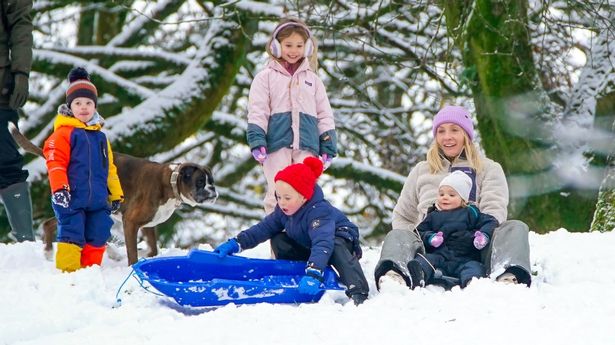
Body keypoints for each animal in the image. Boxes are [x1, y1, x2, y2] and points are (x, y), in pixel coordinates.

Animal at [9, 122, 219, 264]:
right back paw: (48, 252)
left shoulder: (148, 225)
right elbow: (133, 253)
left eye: (212, 181)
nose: (213, 191)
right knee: (53, 225)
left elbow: (152, 249)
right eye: (200, 182)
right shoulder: (131, 221)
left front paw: (143, 254)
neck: (170, 181)